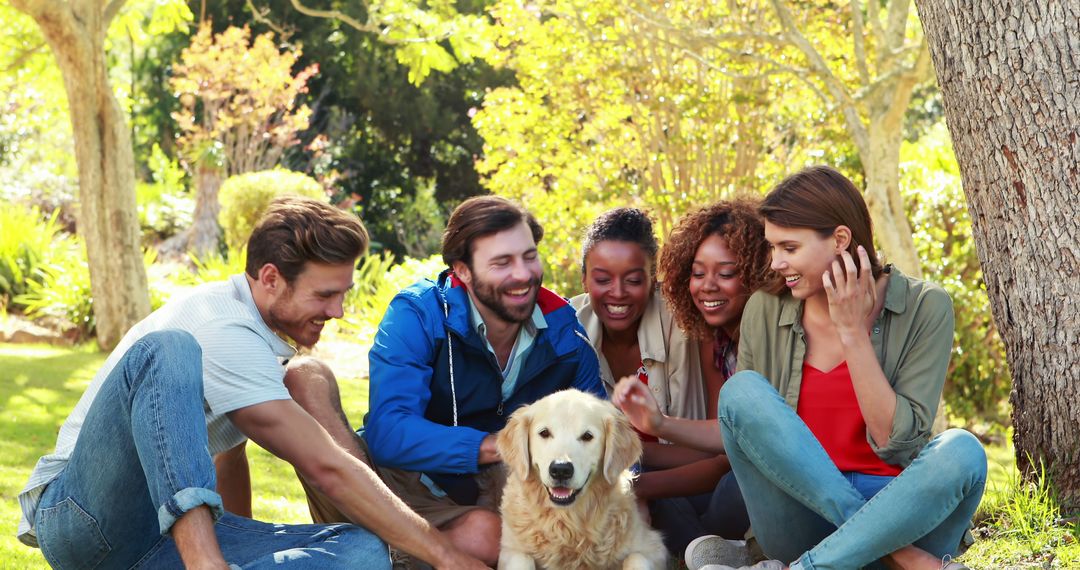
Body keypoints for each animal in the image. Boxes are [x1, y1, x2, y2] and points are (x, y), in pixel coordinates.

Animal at [496, 388, 665, 565]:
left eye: (587, 436)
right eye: (544, 433)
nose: (561, 470)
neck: (568, 523)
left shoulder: (653, 545)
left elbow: (635, 558)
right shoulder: (509, 549)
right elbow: (522, 559)